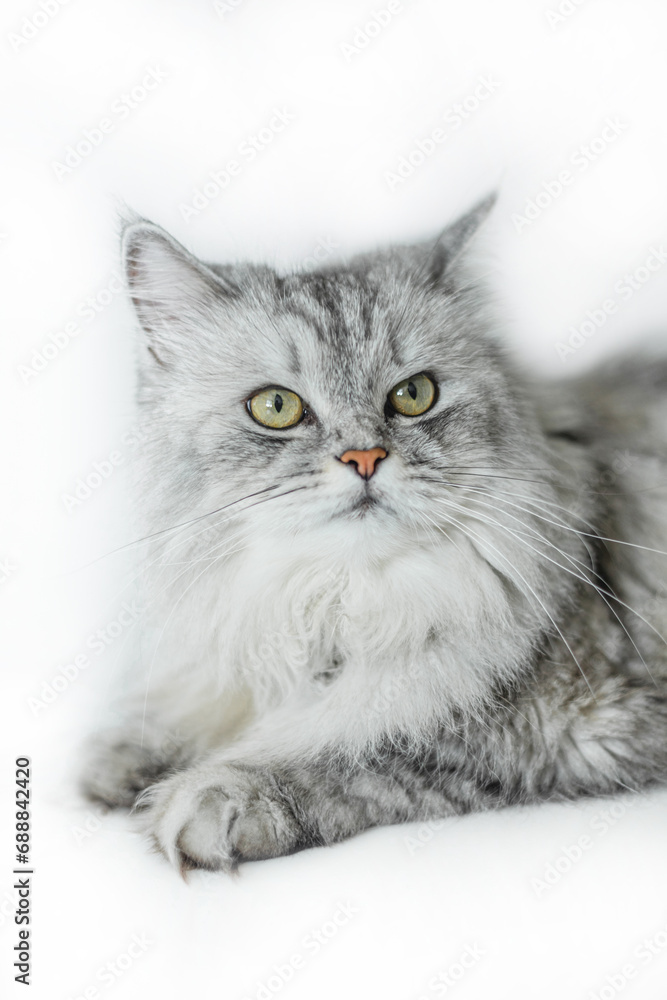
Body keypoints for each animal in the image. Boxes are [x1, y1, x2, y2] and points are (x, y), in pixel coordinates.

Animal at [83, 197, 667, 876]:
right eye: (276, 407)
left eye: (413, 395)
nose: (365, 458)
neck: (342, 603)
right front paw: (123, 761)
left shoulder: (574, 727)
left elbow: (364, 747)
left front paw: (215, 795)